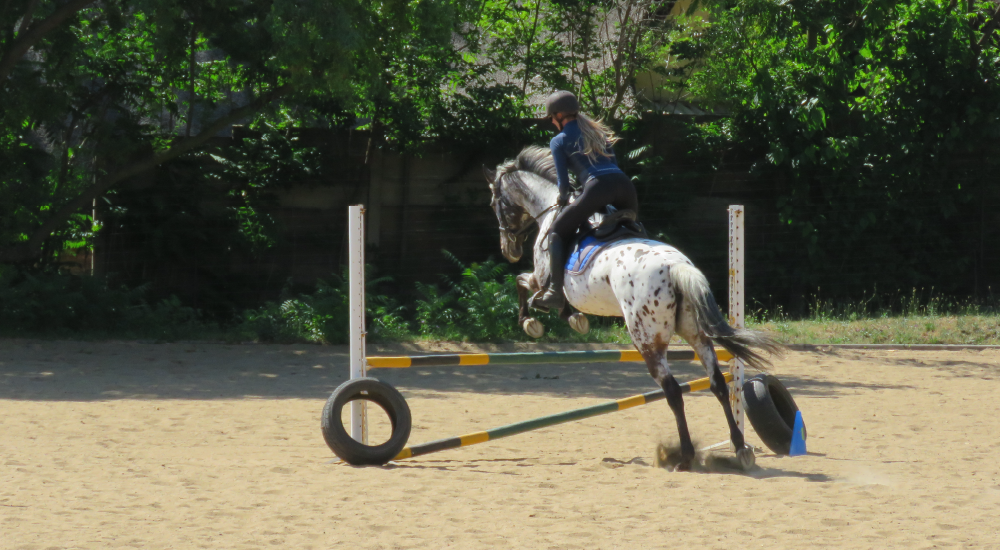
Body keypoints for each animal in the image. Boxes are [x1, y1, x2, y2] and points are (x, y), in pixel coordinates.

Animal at [487, 146, 781, 471]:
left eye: (496, 203)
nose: (509, 251)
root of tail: (676, 267)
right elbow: (536, 291)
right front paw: (572, 319)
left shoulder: (542, 279)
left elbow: (525, 286)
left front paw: (533, 322)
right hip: (696, 335)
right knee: (717, 383)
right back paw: (740, 448)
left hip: (646, 340)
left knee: (673, 391)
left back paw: (685, 456)